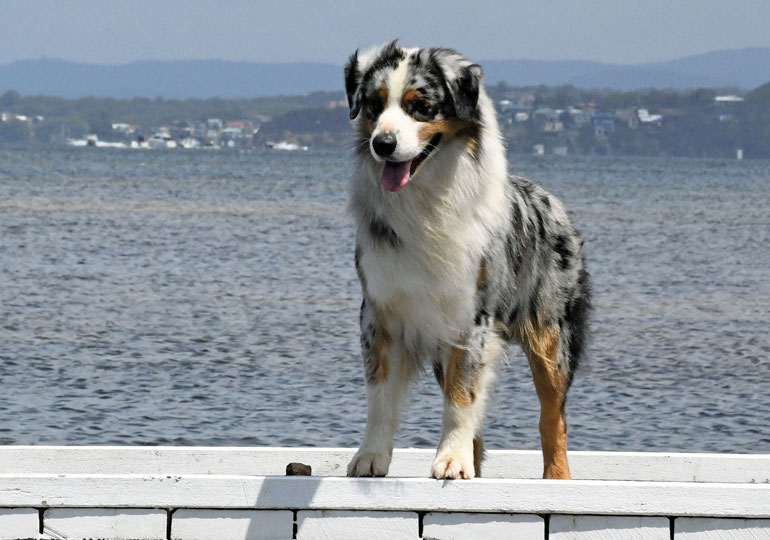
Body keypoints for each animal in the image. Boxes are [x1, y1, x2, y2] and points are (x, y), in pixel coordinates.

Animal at [342, 43, 588, 480]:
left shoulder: (469, 318)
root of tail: (547, 196)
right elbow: (380, 396)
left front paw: (452, 461)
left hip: (551, 337)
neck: (425, 203)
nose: (382, 143)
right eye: (374, 104)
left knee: (552, 416)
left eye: (421, 107)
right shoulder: (380, 312)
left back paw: (557, 478)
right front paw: (370, 457)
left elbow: (461, 397)